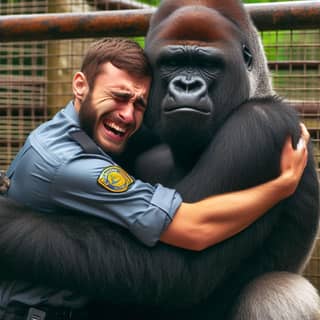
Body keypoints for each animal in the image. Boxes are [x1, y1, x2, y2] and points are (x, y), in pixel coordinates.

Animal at [0, 0, 320, 318]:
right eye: (172, 62)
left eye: (208, 65)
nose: (187, 85)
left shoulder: (261, 125)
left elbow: (175, 262)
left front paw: (7, 219)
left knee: (274, 290)